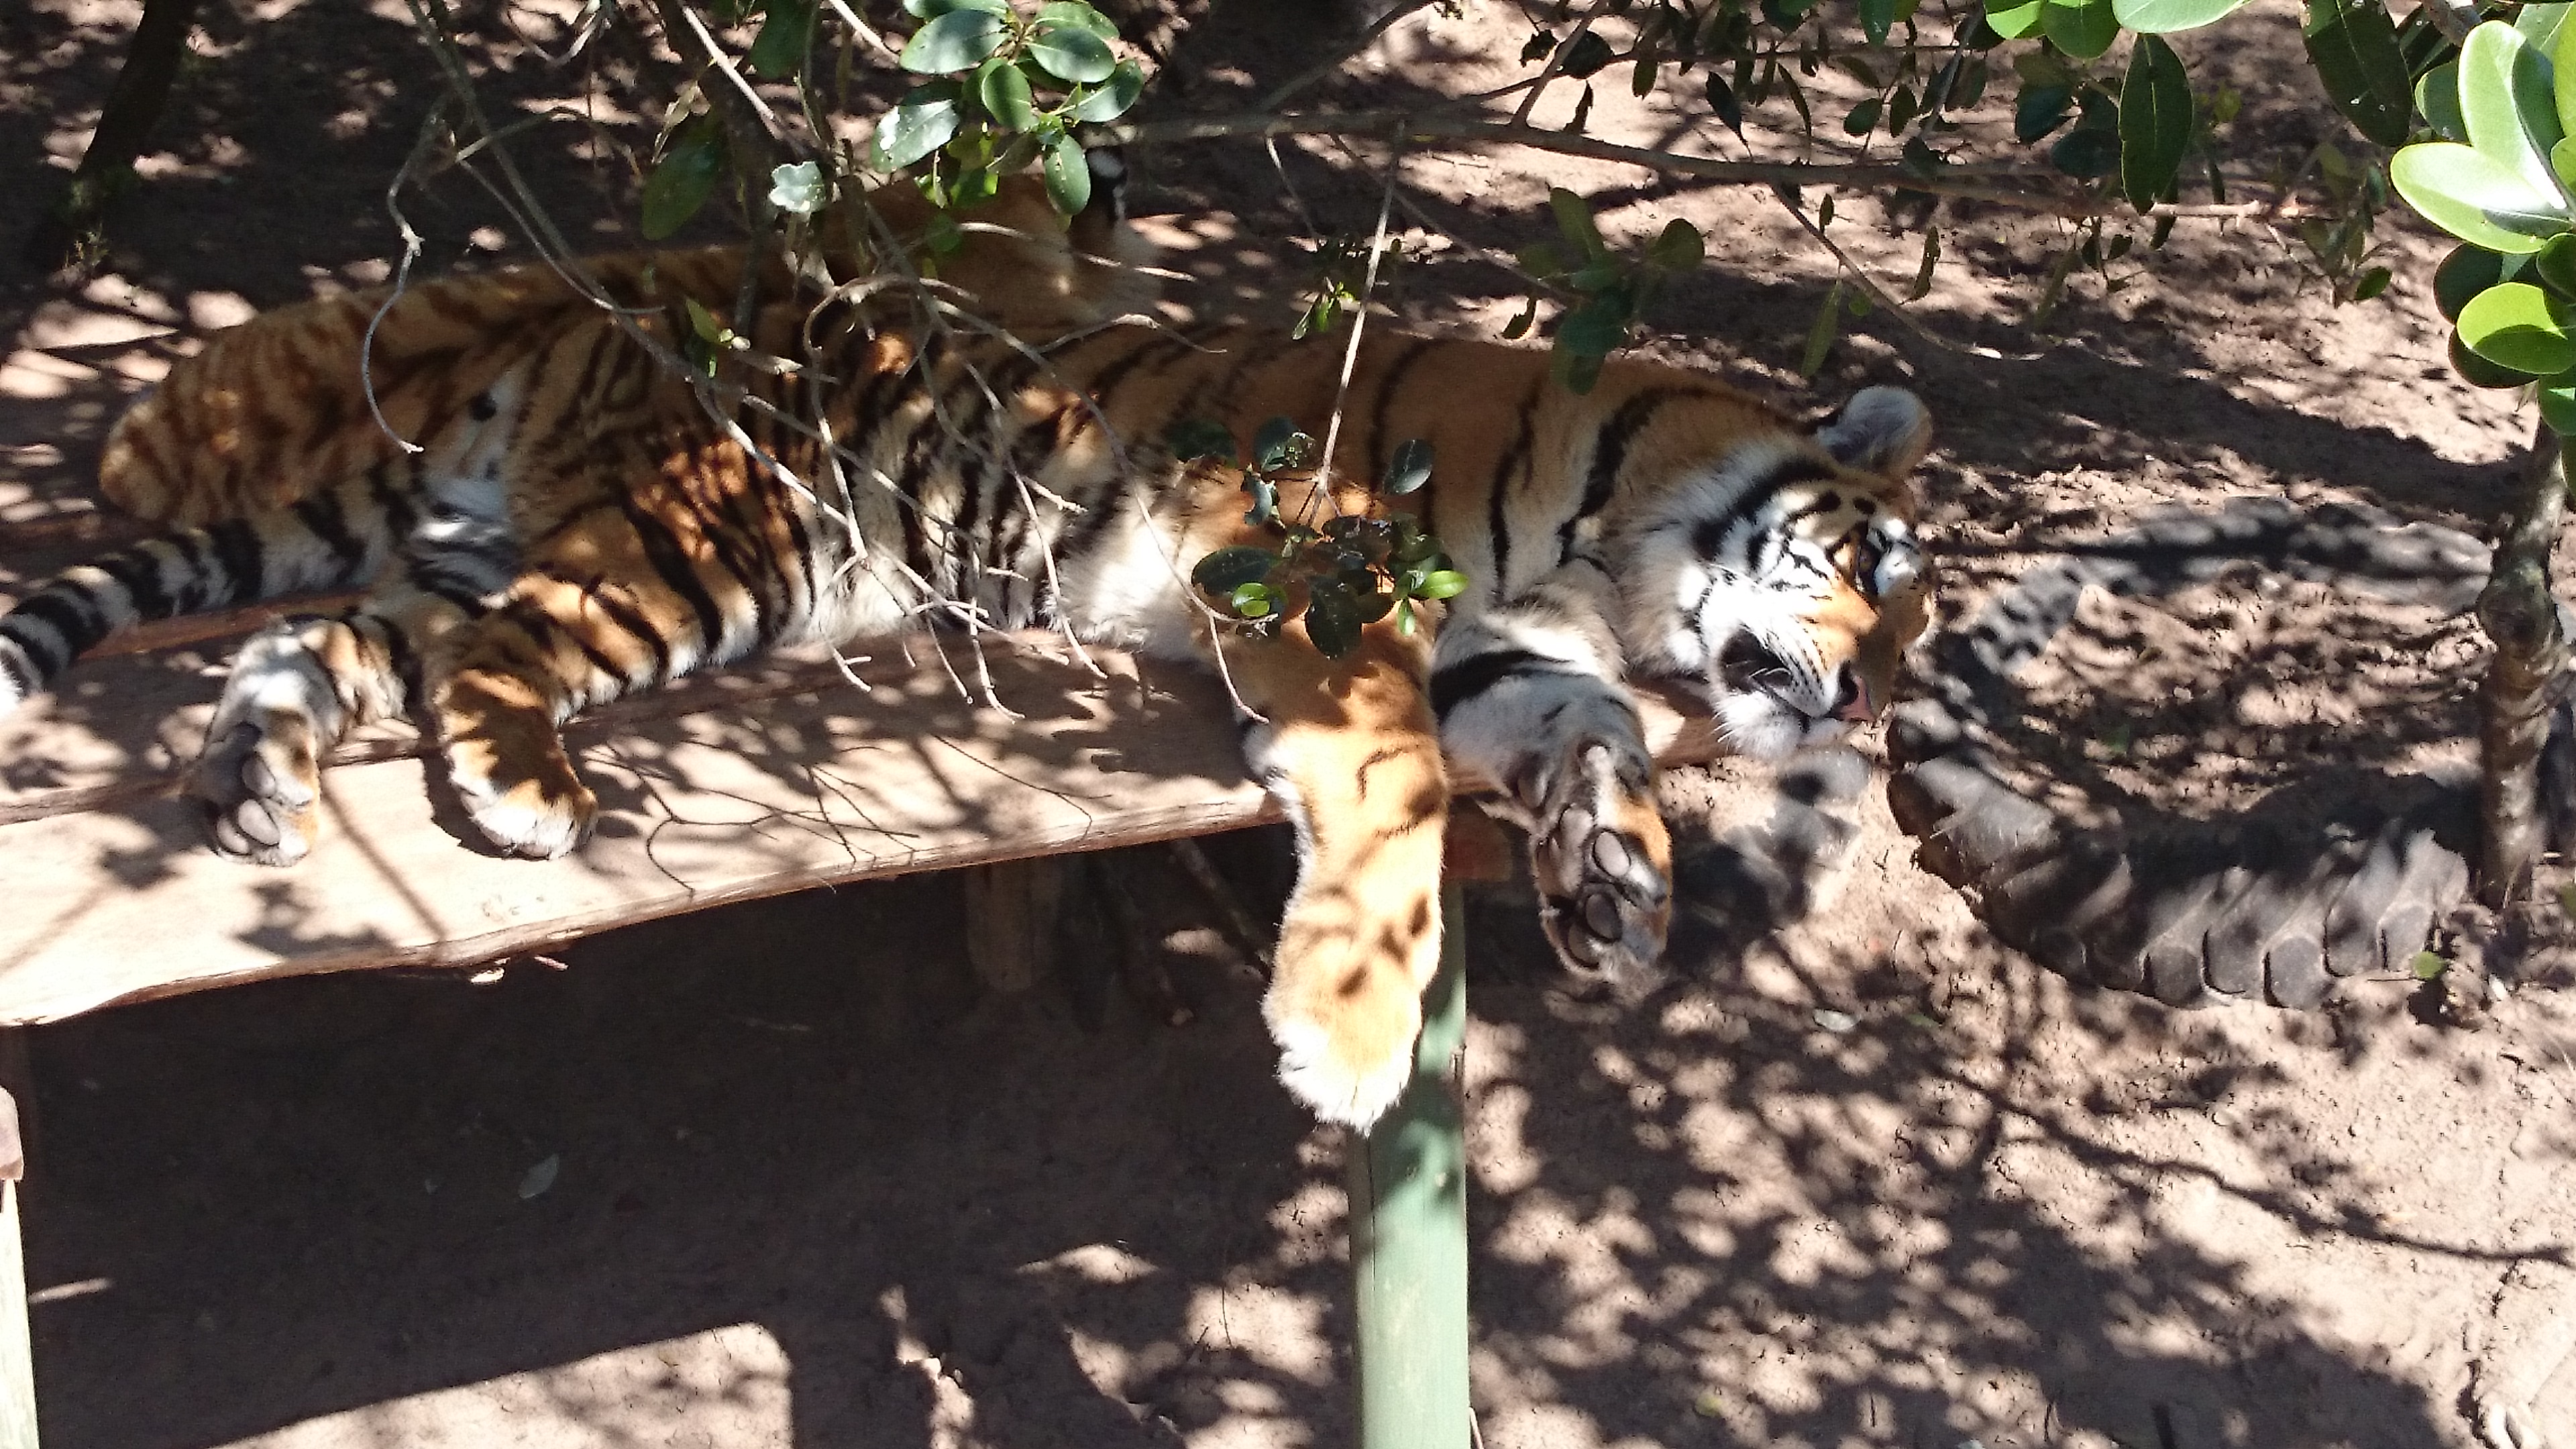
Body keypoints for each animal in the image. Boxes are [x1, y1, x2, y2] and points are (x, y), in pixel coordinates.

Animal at [5, 160, 1937, 1129]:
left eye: (1915, 638)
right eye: (1876, 571)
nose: (1862, 696)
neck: (1620, 549)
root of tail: (584, 326)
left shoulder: (1502, 659)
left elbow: (1596, 741)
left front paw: (1617, 894)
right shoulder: (1311, 585)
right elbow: (1387, 794)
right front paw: (1346, 1035)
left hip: (480, 551)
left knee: (317, 643)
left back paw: (252, 778)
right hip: (723, 545)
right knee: (505, 662)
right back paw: (521, 790)